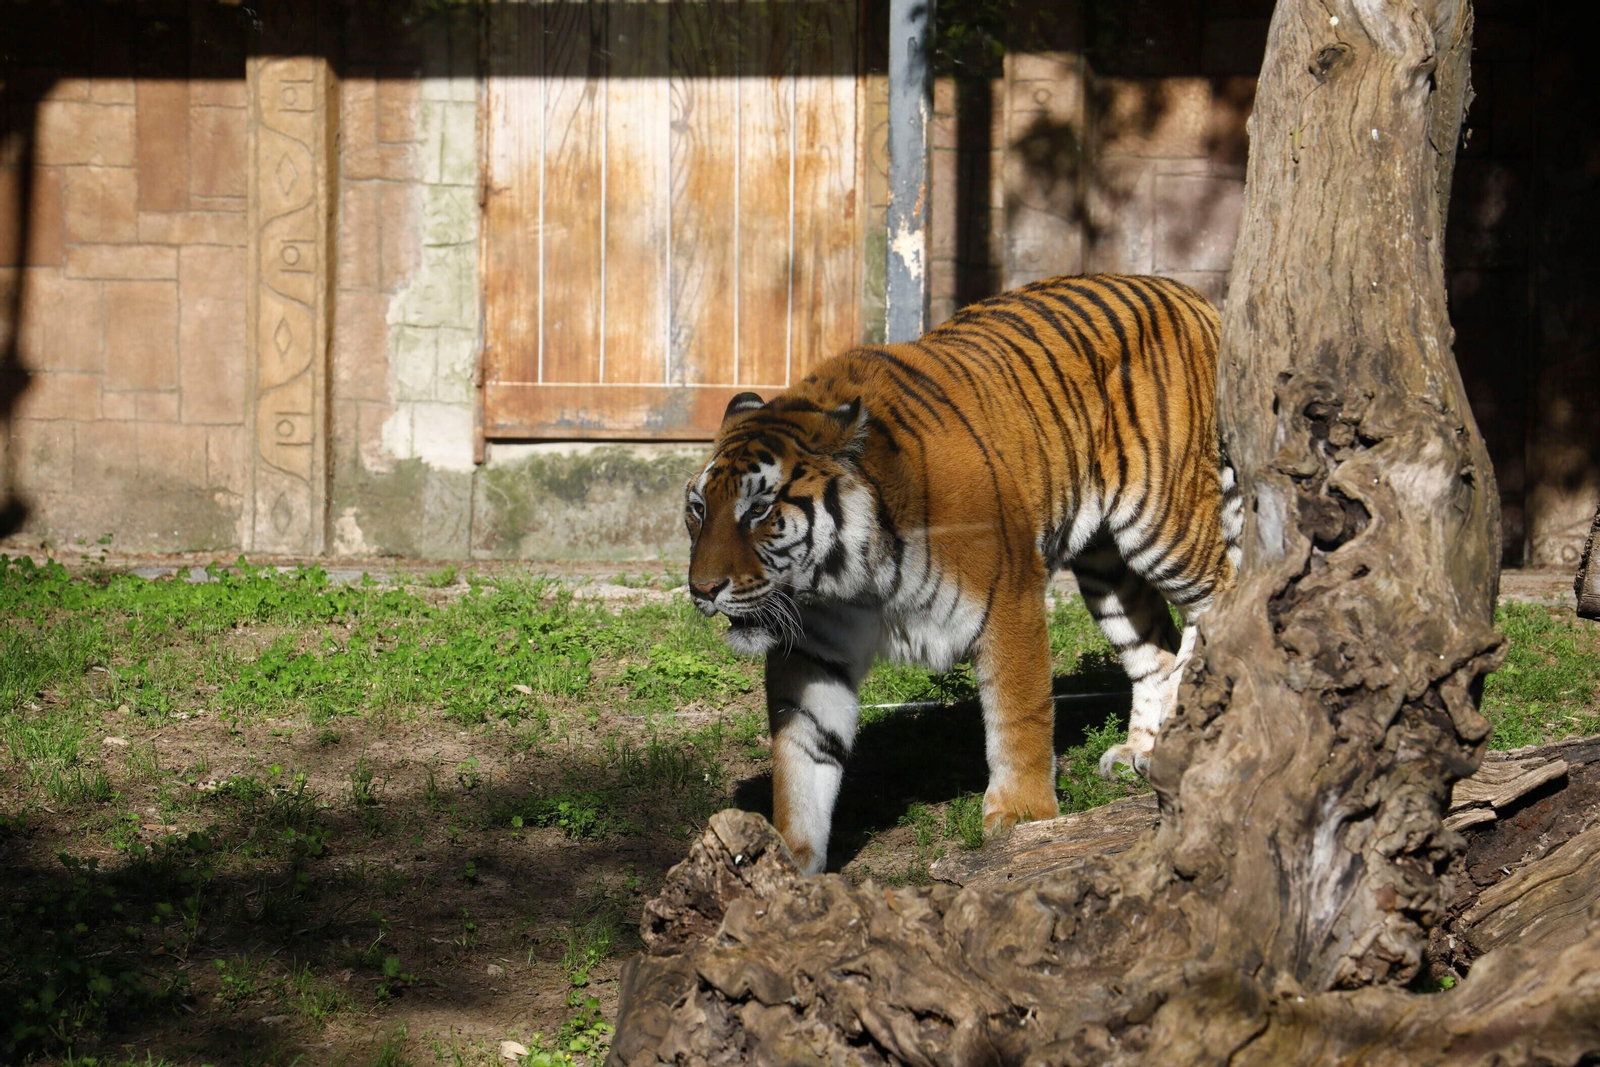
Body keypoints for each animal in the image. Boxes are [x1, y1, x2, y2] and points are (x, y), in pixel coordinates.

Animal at [684, 273, 1242, 875]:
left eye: (758, 511)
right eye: (698, 509)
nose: (702, 589)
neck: (848, 578)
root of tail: (1190, 294)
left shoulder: (1010, 600)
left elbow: (1019, 717)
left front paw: (1021, 817)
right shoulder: (814, 651)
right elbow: (802, 758)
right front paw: (786, 860)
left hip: (1165, 523)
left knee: (1224, 597)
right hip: (1105, 568)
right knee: (1154, 648)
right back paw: (1142, 752)